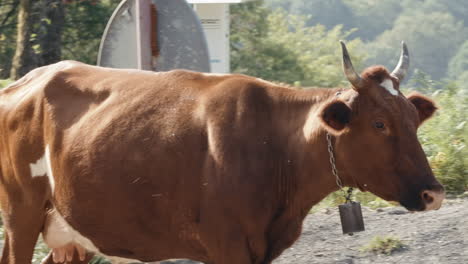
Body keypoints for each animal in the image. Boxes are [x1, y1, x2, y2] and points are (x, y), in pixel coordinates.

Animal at [0, 41, 444, 264]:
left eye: (412, 117)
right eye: (379, 123)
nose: (433, 193)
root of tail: (27, 80)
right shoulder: (227, 246)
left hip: (69, 232)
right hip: (21, 214)